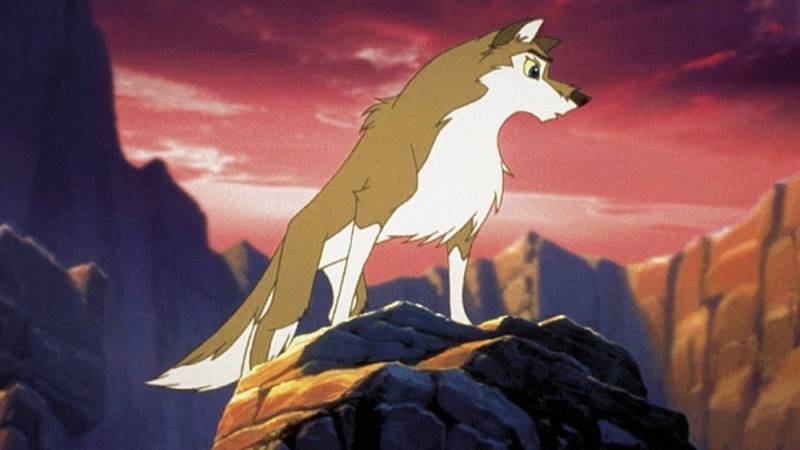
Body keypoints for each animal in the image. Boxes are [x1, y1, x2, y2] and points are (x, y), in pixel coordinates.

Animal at [148, 18, 589, 391]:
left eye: (548, 67)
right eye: (533, 70)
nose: (581, 97)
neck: (467, 133)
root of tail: (288, 231)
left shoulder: (463, 229)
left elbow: (456, 287)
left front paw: (467, 324)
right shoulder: (371, 213)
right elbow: (340, 307)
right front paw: (339, 330)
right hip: (299, 282)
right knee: (271, 330)